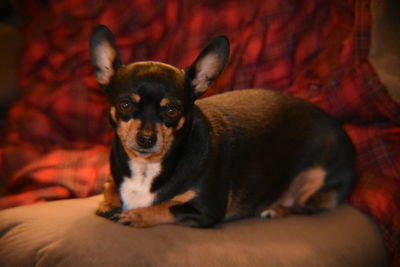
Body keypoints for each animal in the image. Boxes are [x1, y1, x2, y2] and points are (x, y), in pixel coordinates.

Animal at [89, 24, 354, 228]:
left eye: (172, 110)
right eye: (125, 105)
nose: (146, 138)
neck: (147, 168)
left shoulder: (205, 209)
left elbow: (165, 206)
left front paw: (136, 215)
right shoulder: (115, 177)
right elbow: (110, 184)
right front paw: (109, 202)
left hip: (316, 179)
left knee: (305, 207)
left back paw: (276, 209)